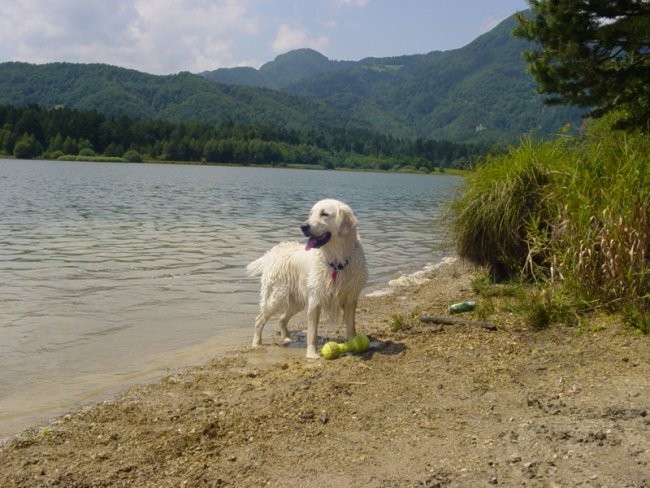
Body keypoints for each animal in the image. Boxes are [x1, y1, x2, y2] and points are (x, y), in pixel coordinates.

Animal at [246, 198, 364, 358]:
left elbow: (351, 326)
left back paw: (286, 338)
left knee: (282, 318)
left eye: (324, 214)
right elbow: (312, 332)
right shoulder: (315, 299)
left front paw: (353, 345)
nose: (303, 226)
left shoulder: (351, 298)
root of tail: (272, 252)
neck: (336, 261)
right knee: (259, 319)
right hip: (277, 297)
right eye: (311, 213)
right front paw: (312, 354)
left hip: (296, 300)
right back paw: (256, 344)